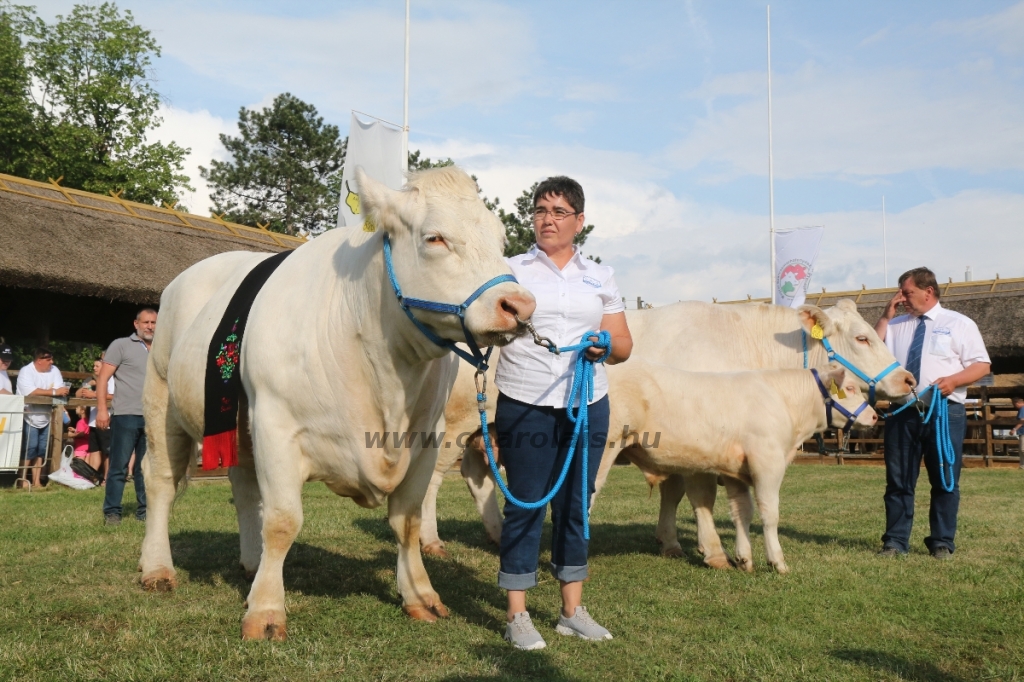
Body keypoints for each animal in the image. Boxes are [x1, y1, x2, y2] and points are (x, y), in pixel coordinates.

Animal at [141, 164, 540, 638]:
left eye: (500, 239)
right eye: (435, 238)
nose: (519, 305)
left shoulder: (428, 436)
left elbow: (407, 520)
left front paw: (420, 594)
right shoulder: (276, 424)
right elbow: (283, 520)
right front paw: (266, 611)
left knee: (243, 486)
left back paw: (252, 564)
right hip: (162, 397)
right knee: (161, 480)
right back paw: (157, 568)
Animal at [415, 296, 913, 561]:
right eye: (863, 337)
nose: (909, 380)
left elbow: (674, 491)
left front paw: (670, 541)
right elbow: (701, 495)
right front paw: (713, 550)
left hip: (485, 433)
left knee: (479, 478)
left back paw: (498, 532)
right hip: (452, 426)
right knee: (433, 481)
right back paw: (431, 540)